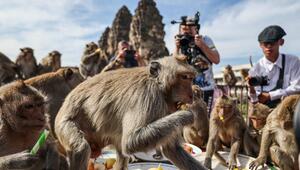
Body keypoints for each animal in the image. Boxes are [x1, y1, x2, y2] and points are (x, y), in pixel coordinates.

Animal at [55, 55, 207, 169]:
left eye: (191, 77)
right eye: (184, 77)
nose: (191, 95)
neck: (158, 85)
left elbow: (171, 149)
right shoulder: (147, 95)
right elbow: (131, 141)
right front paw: (187, 115)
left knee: (122, 154)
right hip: (63, 123)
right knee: (81, 148)